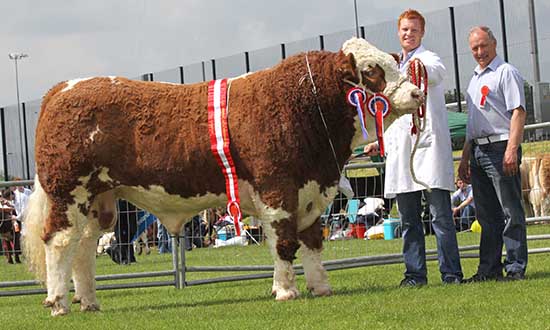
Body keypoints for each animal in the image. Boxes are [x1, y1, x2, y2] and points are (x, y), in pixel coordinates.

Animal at [23, 37, 424, 316]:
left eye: (395, 63)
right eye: (372, 71)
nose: (418, 92)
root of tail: (64, 87)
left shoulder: (310, 191)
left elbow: (312, 241)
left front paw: (320, 286)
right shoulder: (277, 189)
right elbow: (284, 243)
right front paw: (286, 291)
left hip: (98, 200)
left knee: (84, 248)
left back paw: (89, 301)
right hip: (68, 192)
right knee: (59, 242)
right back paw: (59, 302)